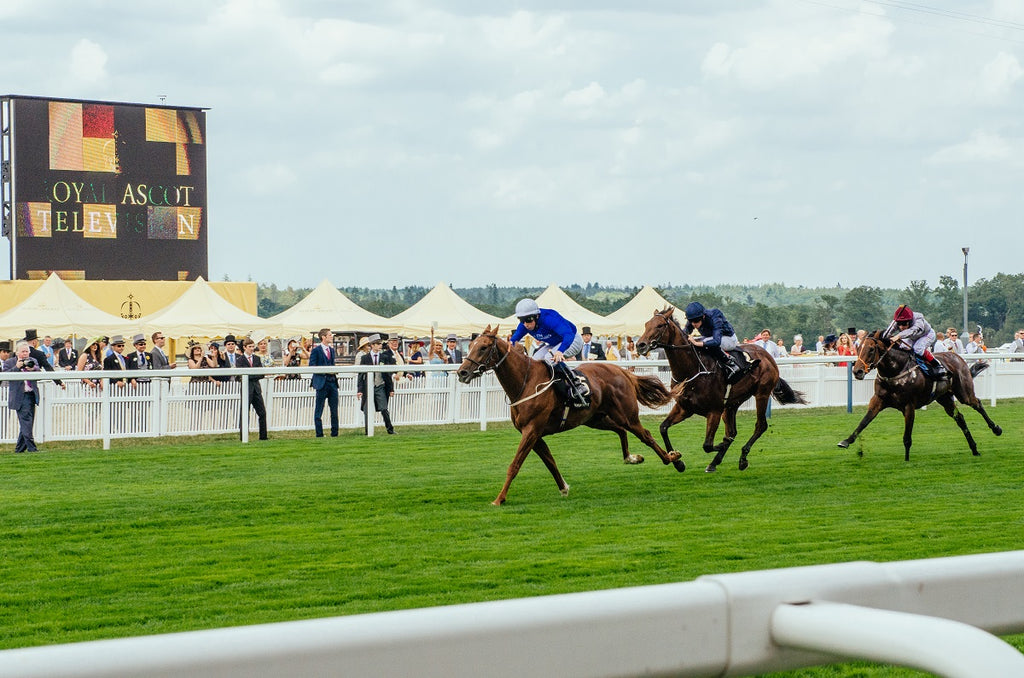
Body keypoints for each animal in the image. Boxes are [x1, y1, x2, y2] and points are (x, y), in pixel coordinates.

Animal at [458, 327, 684, 507]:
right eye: (471, 345)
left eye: (484, 347)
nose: (462, 372)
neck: (525, 382)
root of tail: (622, 371)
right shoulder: (534, 434)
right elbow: (550, 461)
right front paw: (564, 487)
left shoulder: (531, 430)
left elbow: (514, 465)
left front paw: (499, 499)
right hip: (596, 418)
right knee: (620, 430)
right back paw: (632, 458)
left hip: (626, 415)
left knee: (645, 435)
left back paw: (673, 459)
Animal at [630, 307, 806, 473]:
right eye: (646, 324)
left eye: (660, 325)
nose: (640, 345)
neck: (693, 369)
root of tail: (768, 356)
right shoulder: (684, 408)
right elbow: (663, 428)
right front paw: (678, 462)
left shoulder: (713, 411)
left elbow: (708, 445)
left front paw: (721, 445)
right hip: (732, 404)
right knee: (732, 431)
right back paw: (714, 463)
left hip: (761, 394)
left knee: (760, 425)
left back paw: (742, 459)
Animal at [839, 329, 999, 462]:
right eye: (858, 348)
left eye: (871, 349)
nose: (857, 371)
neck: (895, 372)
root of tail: (957, 356)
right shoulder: (878, 401)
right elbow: (863, 422)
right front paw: (846, 441)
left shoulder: (909, 405)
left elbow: (907, 437)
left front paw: (906, 460)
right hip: (944, 398)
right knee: (960, 418)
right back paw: (974, 448)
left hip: (964, 393)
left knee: (977, 403)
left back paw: (996, 428)